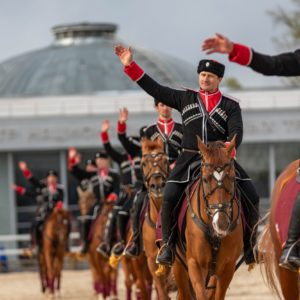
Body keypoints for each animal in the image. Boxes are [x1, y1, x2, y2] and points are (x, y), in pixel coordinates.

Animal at [171, 137, 244, 300]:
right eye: (205, 179)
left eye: (232, 178)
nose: (221, 224)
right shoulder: (195, 264)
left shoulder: (227, 267)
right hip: (179, 266)